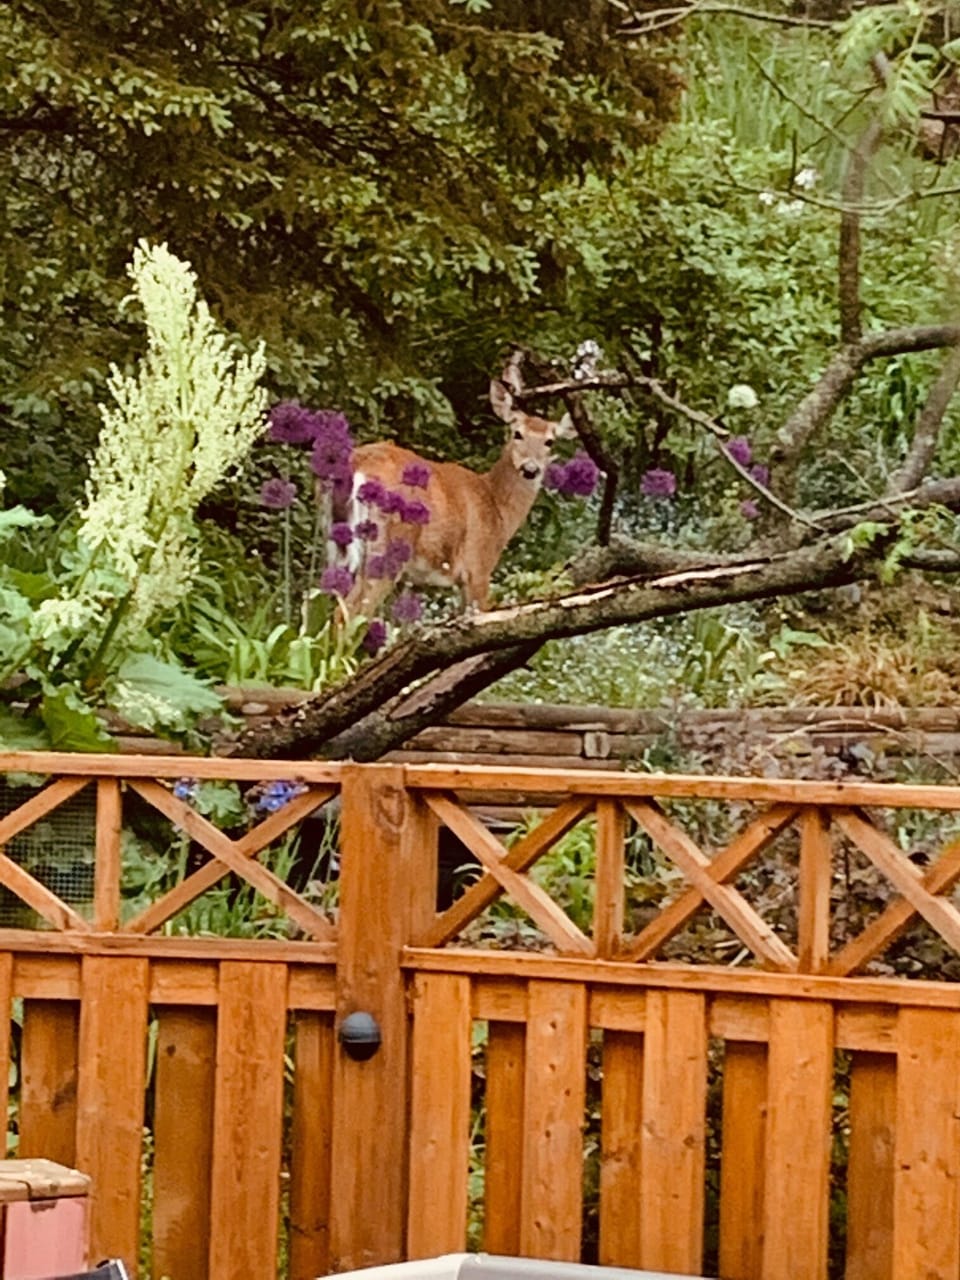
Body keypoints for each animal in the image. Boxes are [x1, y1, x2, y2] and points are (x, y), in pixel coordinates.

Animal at [335, 377, 575, 615]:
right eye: (517, 433)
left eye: (550, 441)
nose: (530, 469)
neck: (497, 507)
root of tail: (361, 464)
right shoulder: (478, 566)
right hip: (389, 545)